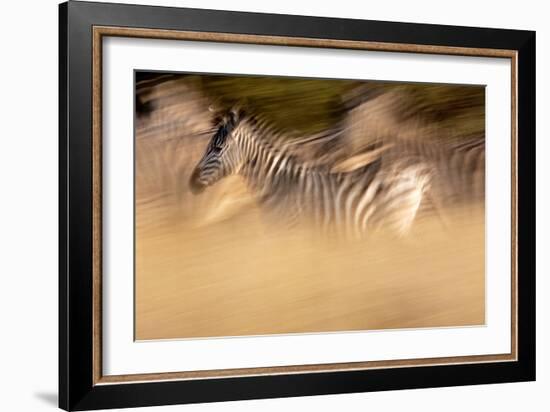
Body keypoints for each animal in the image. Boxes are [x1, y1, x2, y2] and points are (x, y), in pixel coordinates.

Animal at [190, 107, 436, 238]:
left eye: (217, 148)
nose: (191, 182)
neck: (276, 184)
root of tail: (414, 169)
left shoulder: (289, 232)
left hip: (396, 223)